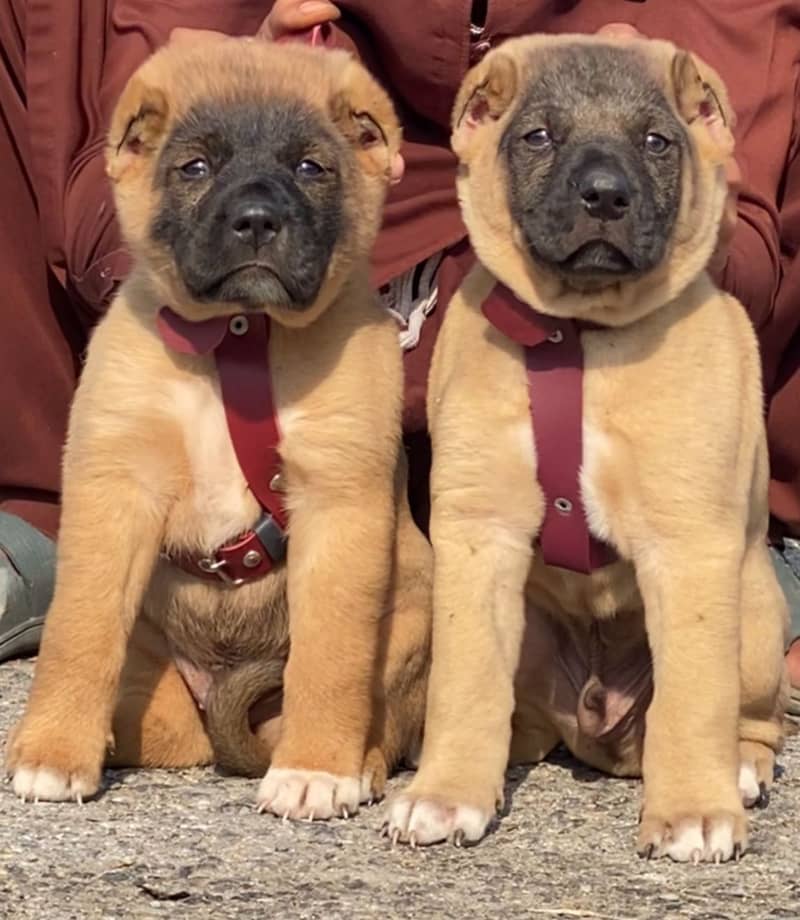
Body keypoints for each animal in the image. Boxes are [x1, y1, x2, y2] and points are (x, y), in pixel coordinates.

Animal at [4, 37, 432, 820]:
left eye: (310, 167)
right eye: (195, 167)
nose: (257, 220)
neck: (237, 337)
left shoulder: (338, 503)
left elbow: (331, 656)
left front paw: (316, 770)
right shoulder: (114, 489)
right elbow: (79, 631)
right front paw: (52, 752)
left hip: (413, 616)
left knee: (381, 717)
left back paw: (358, 765)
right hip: (163, 705)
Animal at [386, 32, 788, 860]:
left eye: (657, 141)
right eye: (538, 136)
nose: (604, 196)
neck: (576, 335)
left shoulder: (689, 543)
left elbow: (694, 695)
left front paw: (693, 811)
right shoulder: (479, 534)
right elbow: (465, 682)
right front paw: (445, 795)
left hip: (759, 614)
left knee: (748, 717)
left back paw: (737, 768)